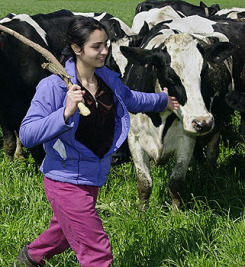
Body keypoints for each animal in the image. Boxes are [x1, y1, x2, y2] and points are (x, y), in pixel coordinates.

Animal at [118, 26, 235, 207]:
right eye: (170, 77)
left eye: (204, 72)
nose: (203, 122)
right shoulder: (134, 137)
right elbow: (144, 182)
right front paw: (142, 211)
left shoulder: (186, 139)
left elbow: (176, 182)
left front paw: (176, 210)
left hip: (217, 126)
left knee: (211, 153)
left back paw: (208, 177)